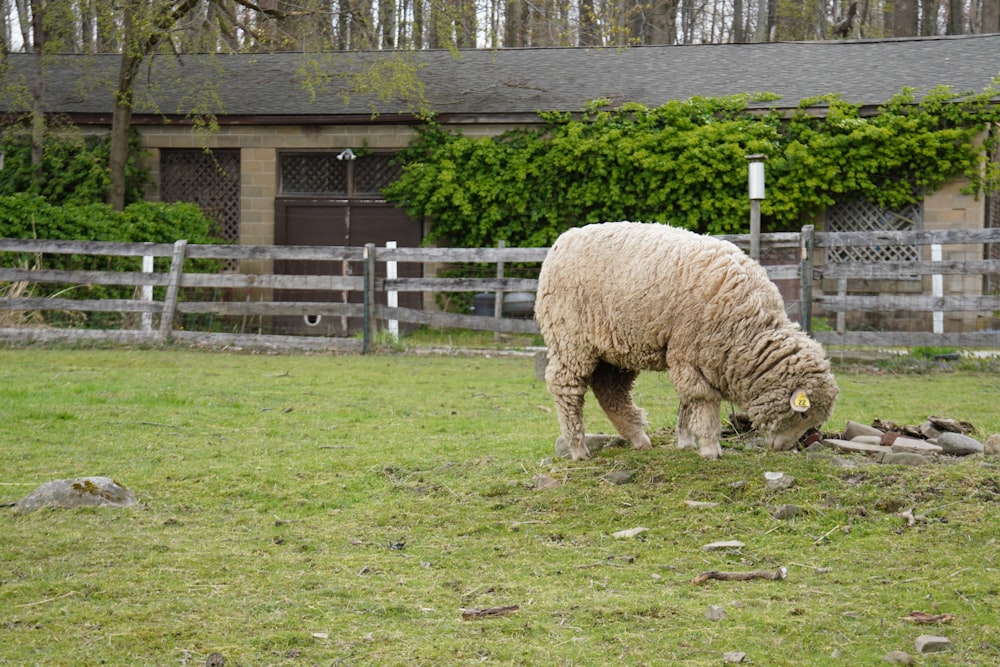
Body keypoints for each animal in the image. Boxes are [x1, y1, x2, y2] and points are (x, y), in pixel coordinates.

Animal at [536, 222, 840, 462]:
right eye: (803, 415)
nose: (783, 448)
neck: (748, 331)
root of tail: (564, 239)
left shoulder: (689, 355)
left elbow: (686, 401)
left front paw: (685, 441)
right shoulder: (690, 354)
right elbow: (702, 400)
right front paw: (709, 447)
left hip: (613, 349)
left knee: (610, 391)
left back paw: (639, 439)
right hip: (570, 340)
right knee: (567, 388)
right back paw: (578, 448)